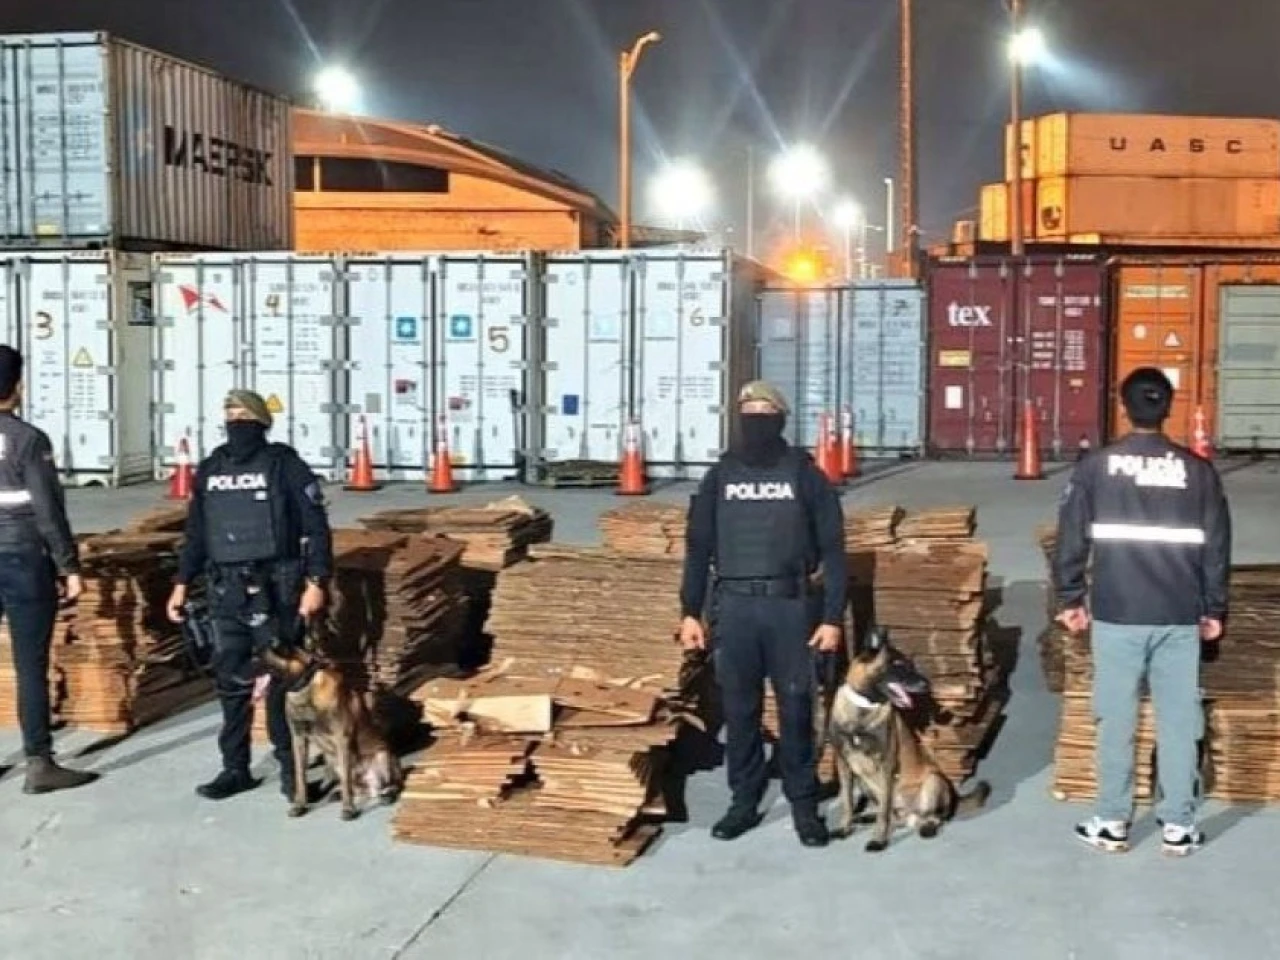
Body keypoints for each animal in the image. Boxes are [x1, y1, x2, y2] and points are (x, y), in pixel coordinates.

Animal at [259, 646, 404, 820]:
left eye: (260, 656)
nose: (253, 653)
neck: (307, 687)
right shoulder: (298, 739)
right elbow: (300, 776)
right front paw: (299, 805)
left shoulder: (342, 738)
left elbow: (346, 780)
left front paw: (348, 809)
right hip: (333, 763)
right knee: (357, 788)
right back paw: (338, 793)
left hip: (383, 756)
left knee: (392, 785)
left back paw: (386, 795)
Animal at [826, 627, 991, 851]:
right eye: (898, 665)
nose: (927, 685)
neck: (863, 708)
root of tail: (911, 814)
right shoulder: (843, 764)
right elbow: (848, 802)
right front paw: (846, 828)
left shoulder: (886, 765)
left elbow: (884, 812)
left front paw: (879, 840)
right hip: (864, 782)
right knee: (893, 815)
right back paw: (868, 817)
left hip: (933, 781)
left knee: (934, 817)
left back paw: (927, 827)